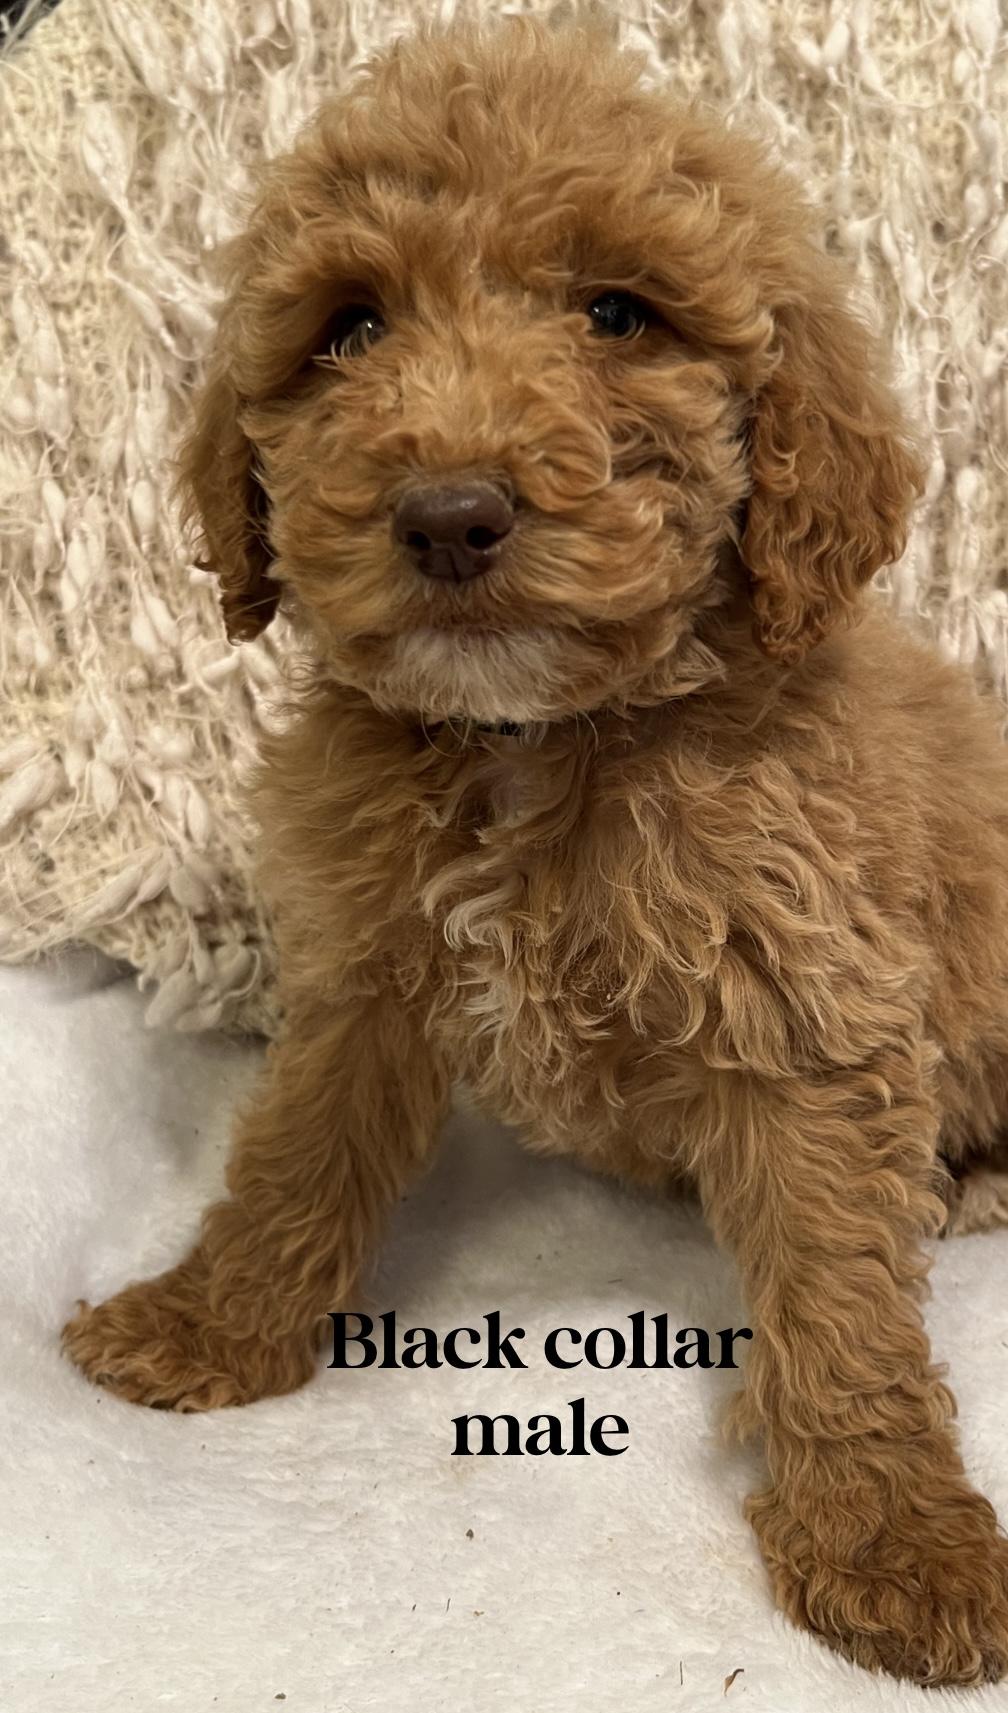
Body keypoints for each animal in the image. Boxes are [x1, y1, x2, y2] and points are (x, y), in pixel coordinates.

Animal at [63, 21, 1008, 1686]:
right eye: (350, 327)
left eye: (618, 314)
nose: (450, 513)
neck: (533, 738)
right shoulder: (366, 972)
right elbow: (294, 1154)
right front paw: (207, 1324)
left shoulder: (804, 1004)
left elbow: (838, 1291)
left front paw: (892, 1537)